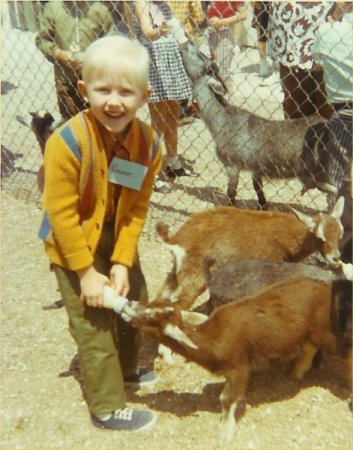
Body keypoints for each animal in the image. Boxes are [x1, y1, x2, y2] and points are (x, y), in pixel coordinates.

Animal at [121, 278, 350, 446]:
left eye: (152, 318)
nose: (129, 305)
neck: (211, 338)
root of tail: (325, 286)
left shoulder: (238, 366)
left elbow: (226, 398)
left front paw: (225, 432)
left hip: (324, 327)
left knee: (344, 349)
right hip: (311, 330)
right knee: (310, 347)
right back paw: (297, 372)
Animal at [157, 199, 344, 312]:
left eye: (340, 234)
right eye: (320, 237)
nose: (335, 258)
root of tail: (176, 238)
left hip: (177, 271)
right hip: (195, 276)